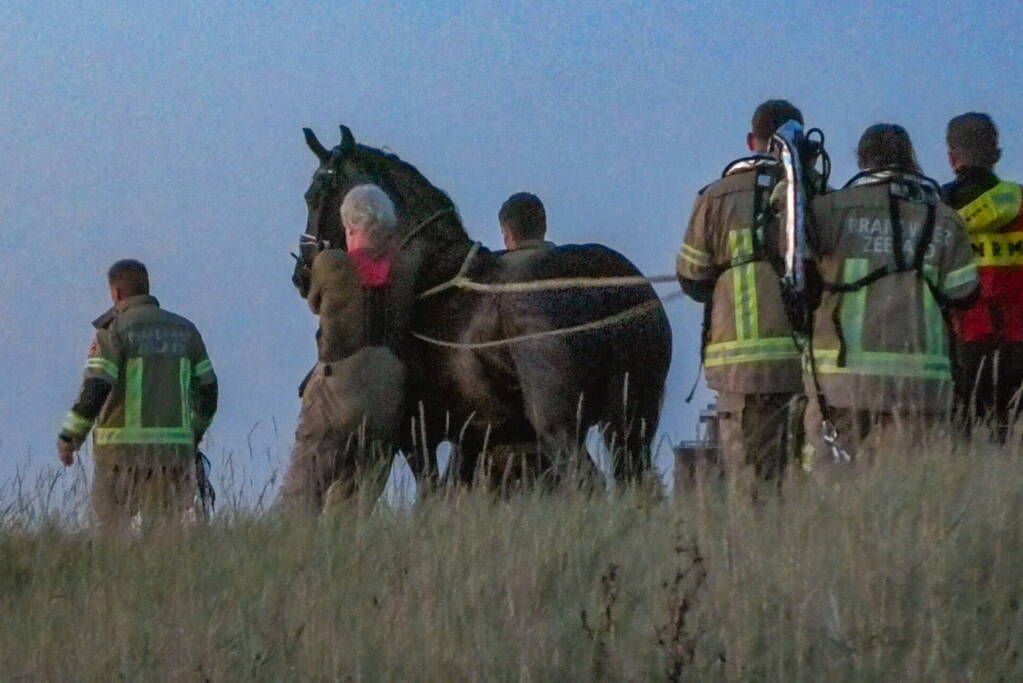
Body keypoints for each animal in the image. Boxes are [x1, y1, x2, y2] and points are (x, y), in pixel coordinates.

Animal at [296, 125, 671, 488]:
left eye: (312, 194)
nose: (301, 274)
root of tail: (605, 284)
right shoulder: (473, 437)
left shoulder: (416, 435)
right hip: (633, 421)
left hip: (560, 422)